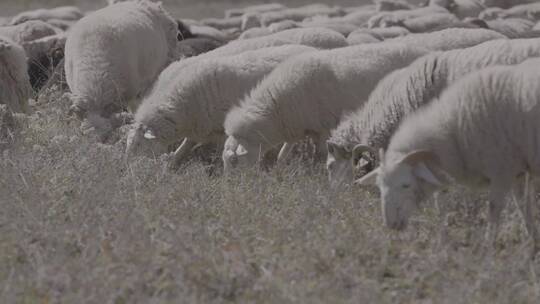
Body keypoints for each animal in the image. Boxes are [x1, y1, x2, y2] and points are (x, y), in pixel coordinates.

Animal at [125, 45, 316, 169]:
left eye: (138, 144)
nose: (128, 166)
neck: (182, 106)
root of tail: (309, 49)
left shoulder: (220, 128)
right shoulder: (200, 128)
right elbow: (185, 145)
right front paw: (172, 162)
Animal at [220, 42, 430, 173]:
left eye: (234, 161)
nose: (231, 187)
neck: (277, 109)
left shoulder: (323, 129)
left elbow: (320, 155)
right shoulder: (297, 129)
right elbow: (281, 155)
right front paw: (279, 172)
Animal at [356, 58, 540, 253]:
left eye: (405, 185)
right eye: (379, 186)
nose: (391, 224)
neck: (453, 129)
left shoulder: (502, 171)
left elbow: (494, 209)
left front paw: (488, 245)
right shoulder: (518, 172)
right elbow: (524, 206)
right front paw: (533, 240)